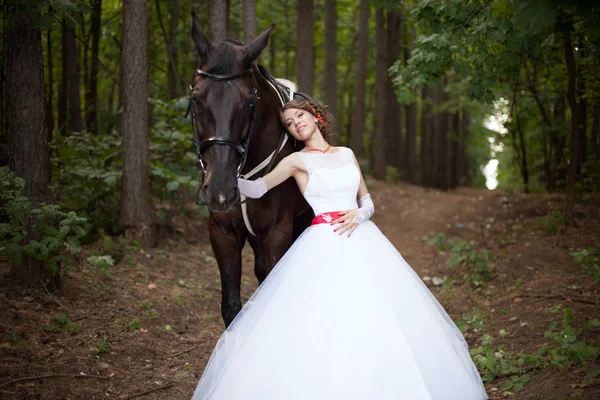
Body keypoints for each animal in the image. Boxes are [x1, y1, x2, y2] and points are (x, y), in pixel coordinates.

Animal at [190, 14, 312, 326]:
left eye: (250, 102)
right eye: (196, 100)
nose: (220, 191)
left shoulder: (278, 233)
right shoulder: (223, 232)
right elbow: (231, 306)